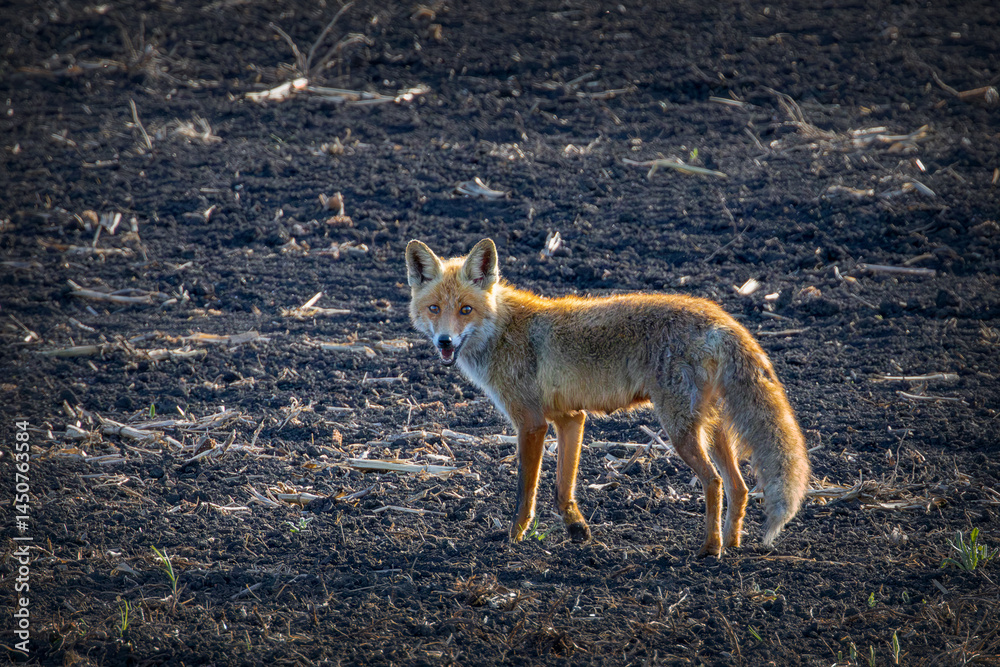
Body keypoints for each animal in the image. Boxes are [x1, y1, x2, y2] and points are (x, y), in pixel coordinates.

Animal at [405, 238, 810, 557]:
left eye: (466, 310)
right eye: (434, 309)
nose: (444, 342)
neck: (502, 330)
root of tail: (720, 316)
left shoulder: (531, 423)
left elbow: (526, 492)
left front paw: (513, 538)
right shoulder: (569, 418)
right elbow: (562, 489)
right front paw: (577, 530)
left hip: (679, 428)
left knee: (713, 482)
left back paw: (710, 549)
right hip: (709, 427)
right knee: (738, 487)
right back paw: (732, 543)